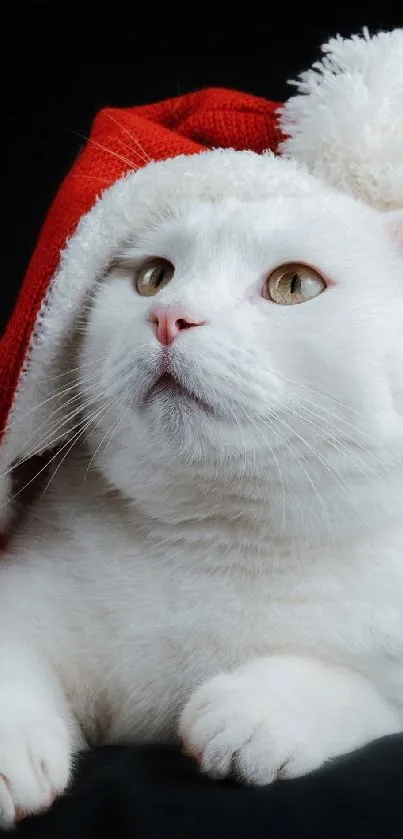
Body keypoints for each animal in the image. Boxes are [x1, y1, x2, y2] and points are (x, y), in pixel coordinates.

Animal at [0, 146, 403, 828]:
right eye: (153, 277)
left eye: (294, 284)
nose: (168, 316)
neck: (219, 538)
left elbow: (372, 689)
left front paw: (263, 711)